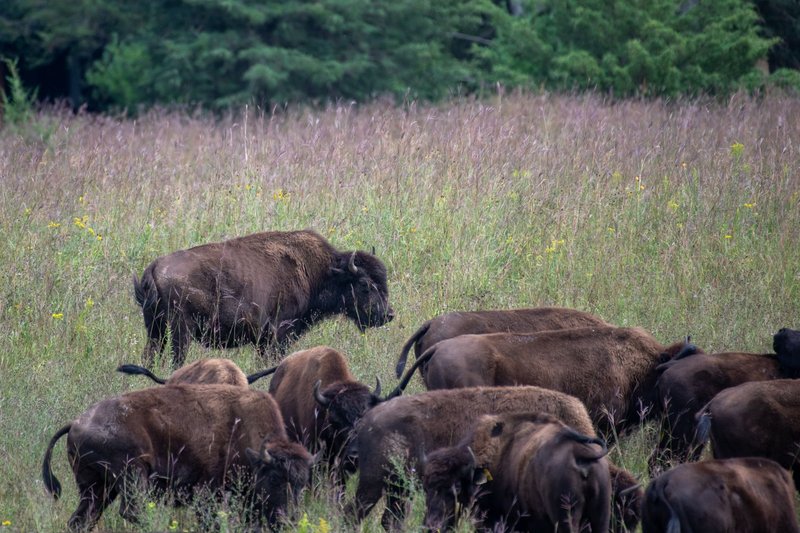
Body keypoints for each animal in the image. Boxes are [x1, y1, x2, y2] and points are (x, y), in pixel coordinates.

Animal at [42, 384, 315, 531]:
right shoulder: (207, 494)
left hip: (98, 488)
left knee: (81, 519)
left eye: (302, 484)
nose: (289, 520)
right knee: (132, 511)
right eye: (275, 479)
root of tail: (77, 422)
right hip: (132, 475)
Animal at [134, 229, 394, 368]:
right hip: (180, 331)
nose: (388, 314)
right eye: (364, 284)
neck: (321, 273)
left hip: (155, 329)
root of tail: (154, 267)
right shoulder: (277, 335)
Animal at [423, 412, 611, 533]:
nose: (431, 527)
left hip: (566, 519)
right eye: (426, 488)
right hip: (600, 519)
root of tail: (580, 454)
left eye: (456, 486)